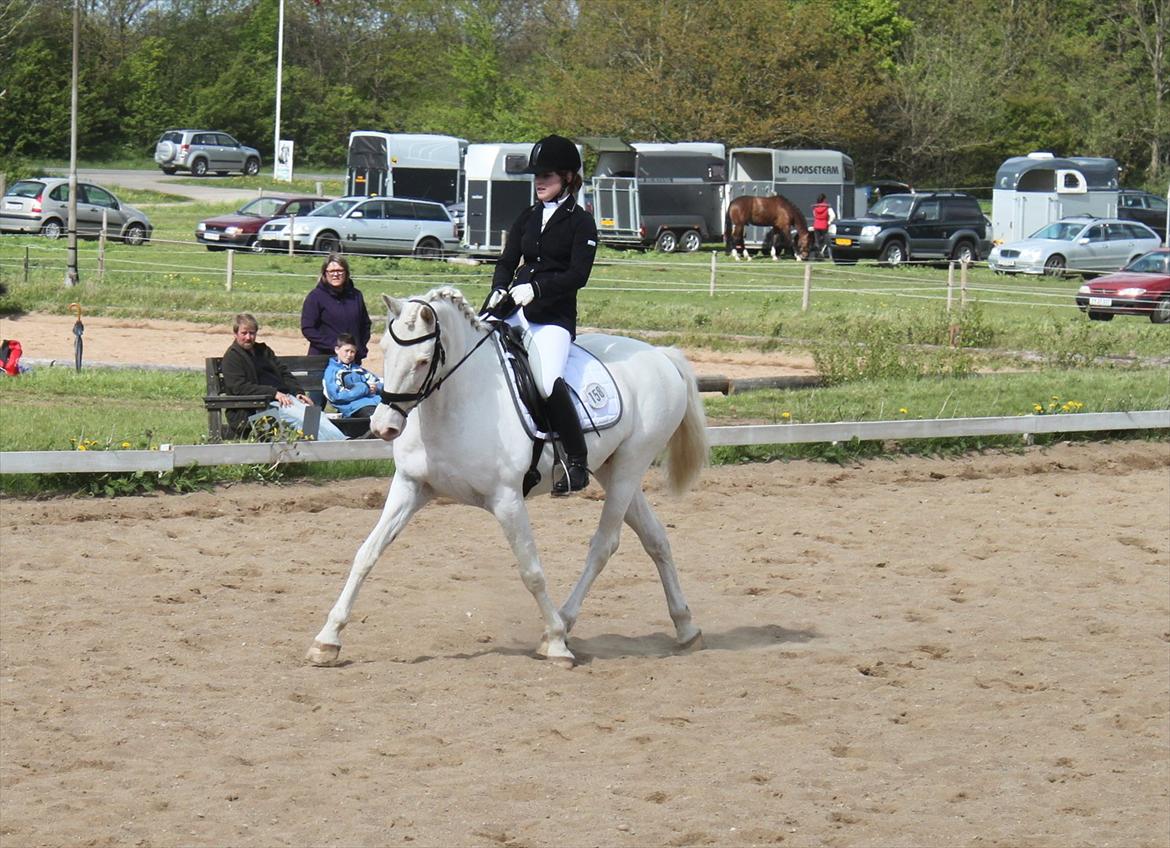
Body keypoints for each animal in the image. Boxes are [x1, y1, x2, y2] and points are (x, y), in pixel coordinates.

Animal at [306, 287, 706, 664]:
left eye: (422, 361)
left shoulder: (507, 499)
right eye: (385, 350)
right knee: (655, 538)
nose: (383, 427)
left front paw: (555, 643)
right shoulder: (411, 486)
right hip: (612, 466)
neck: (454, 403)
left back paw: (564, 623)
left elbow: (531, 570)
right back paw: (686, 627)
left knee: (603, 546)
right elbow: (366, 553)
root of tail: (661, 354)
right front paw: (327, 640)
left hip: (630, 465)